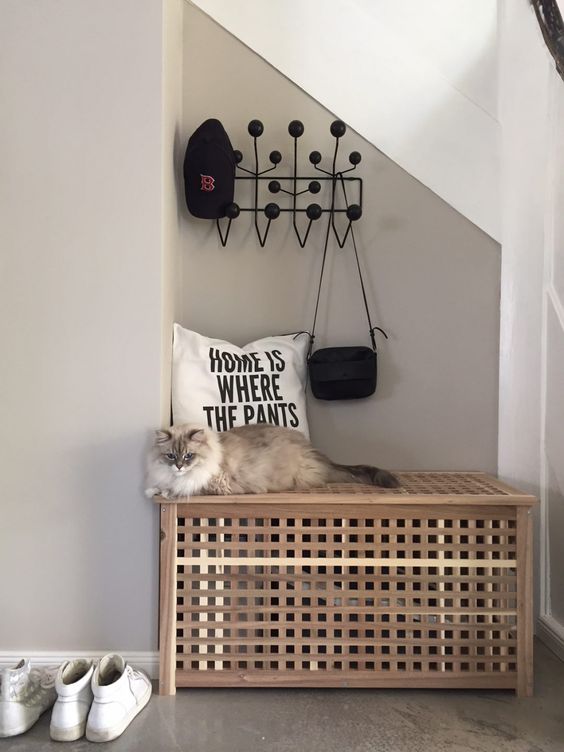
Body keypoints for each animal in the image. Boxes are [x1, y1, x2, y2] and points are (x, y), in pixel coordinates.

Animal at [147, 424, 400, 500]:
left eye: (189, 456)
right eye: (171, 456)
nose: (179, 466)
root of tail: (316, 452)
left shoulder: (215, 484)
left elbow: (183, 488)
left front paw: (165, 492)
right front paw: (154, 489)